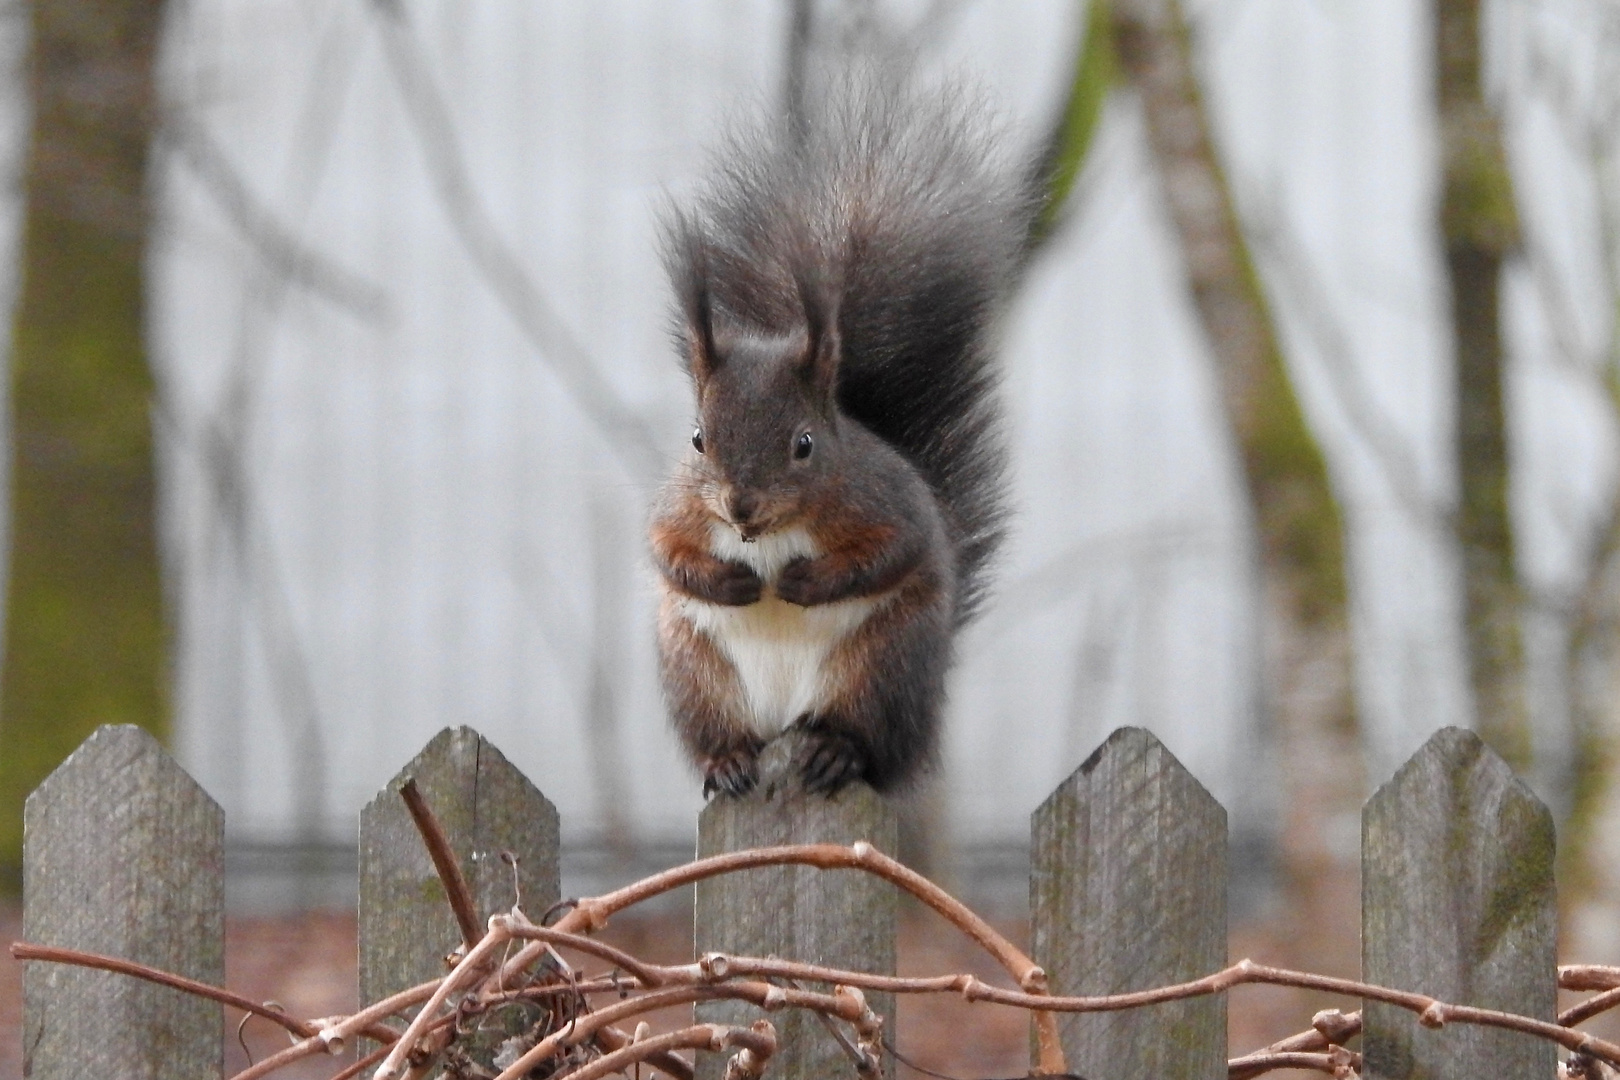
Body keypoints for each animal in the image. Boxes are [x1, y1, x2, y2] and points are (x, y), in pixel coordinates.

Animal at [648, 67, 1017, 793]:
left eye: (805, 445)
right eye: (699, 438)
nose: (741, 506)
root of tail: (780, 725)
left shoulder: (885, 502)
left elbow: (893, 550)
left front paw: (803, 584)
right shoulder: (677, 507)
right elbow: (664, 551)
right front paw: (727, 582)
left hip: (883, 665)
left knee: (868, 738)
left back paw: (835, 751)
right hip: (695, 673)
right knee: (719, 732)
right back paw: (728, 759)